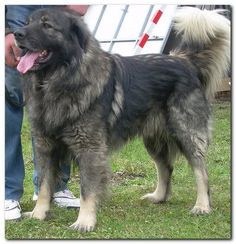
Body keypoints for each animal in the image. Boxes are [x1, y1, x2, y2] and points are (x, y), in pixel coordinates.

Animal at [13, 6, 230, 232]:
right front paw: (38, 214)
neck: (60, 80)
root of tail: (184, 61)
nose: (16, 34)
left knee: (201, 170)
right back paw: (158, 197)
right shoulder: (45, 146)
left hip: (186, 132)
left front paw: (84, 221)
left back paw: (202, 206)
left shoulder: (89, 148)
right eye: (27, 23)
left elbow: (87, 189)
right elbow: (44, 185)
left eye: (47, 25)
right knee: (166, 167)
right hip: (153, 139)